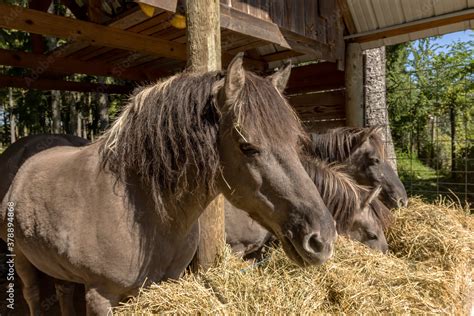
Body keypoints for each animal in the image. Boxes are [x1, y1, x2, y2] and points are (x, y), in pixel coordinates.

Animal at [0, 53, 336, 314]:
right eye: (247, 147)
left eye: (296, 143)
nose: (322, 239)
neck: (141, 211)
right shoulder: (101, 296)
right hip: (21, 260)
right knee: (32, 295)